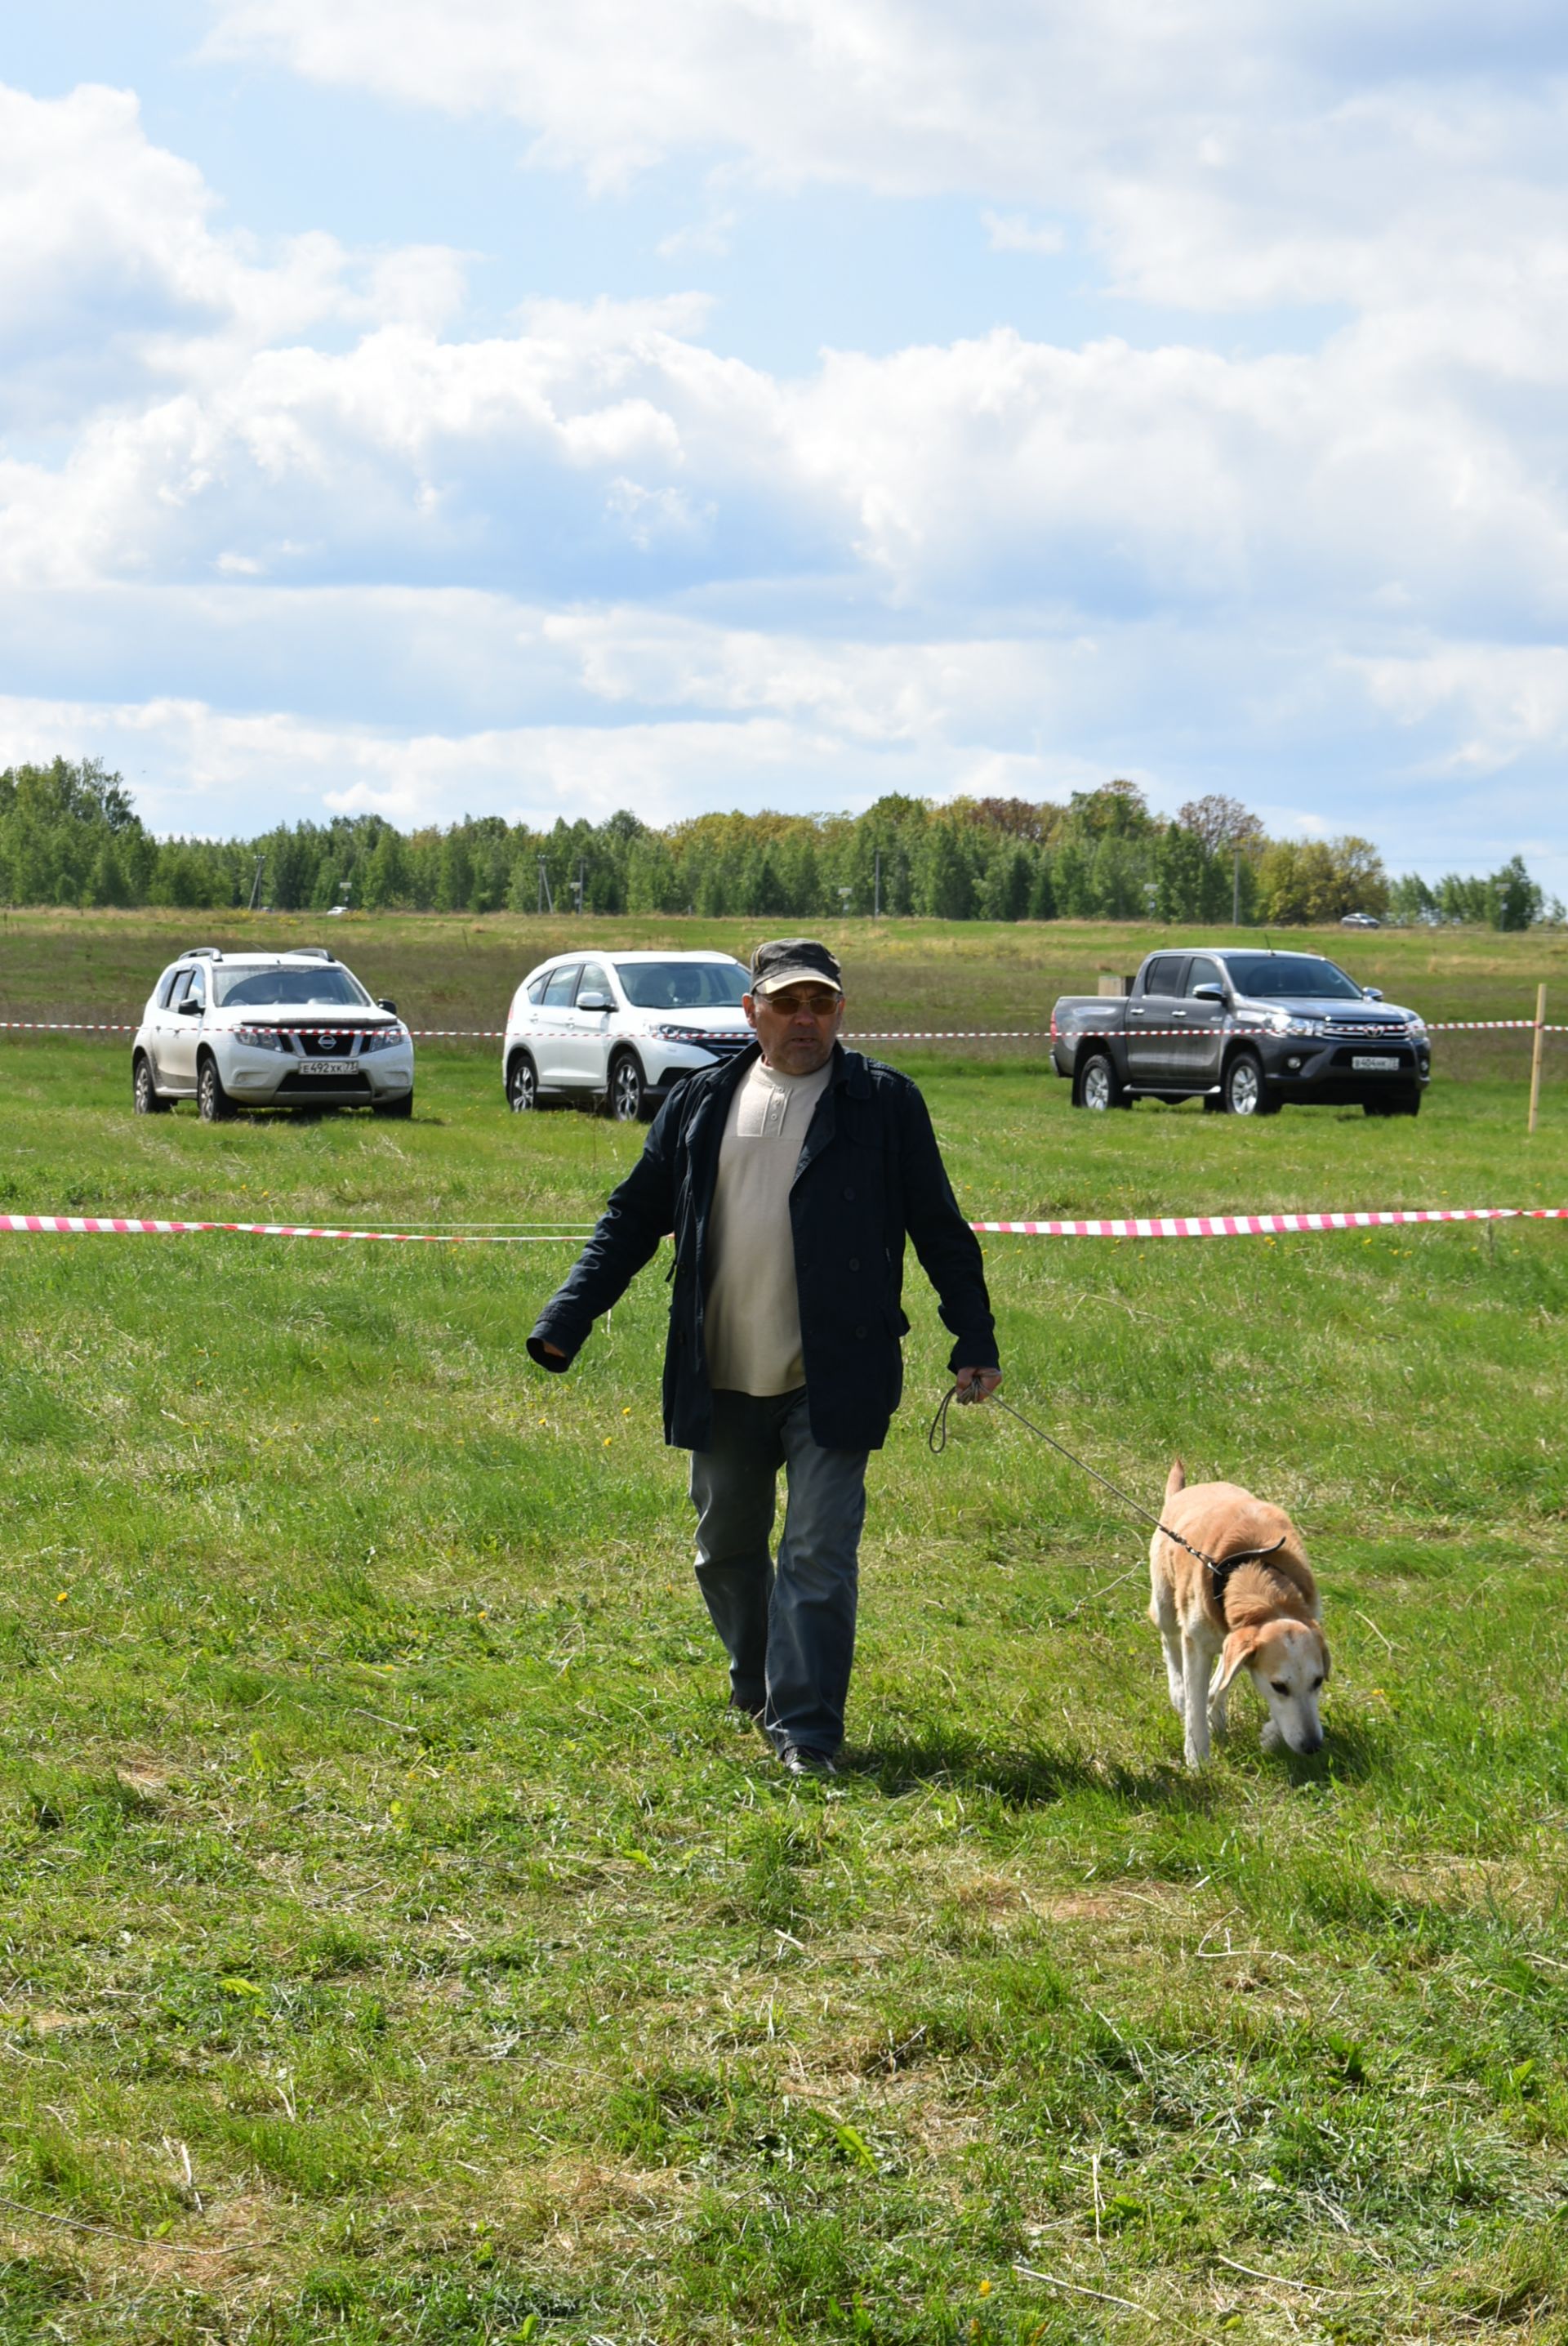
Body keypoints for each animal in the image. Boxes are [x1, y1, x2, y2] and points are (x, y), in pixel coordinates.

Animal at [1143, 1454, 1331, 1764]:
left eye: (1317, 1682)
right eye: (1279, 1686)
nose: (1313, 1746)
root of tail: (1182, 1492)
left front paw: (1271, 1734)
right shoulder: (1196, 1645)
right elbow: (1195, 1705)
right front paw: (1197, 1757)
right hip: (1164, 1604)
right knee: (1169, 1641)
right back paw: (1179, 1692)